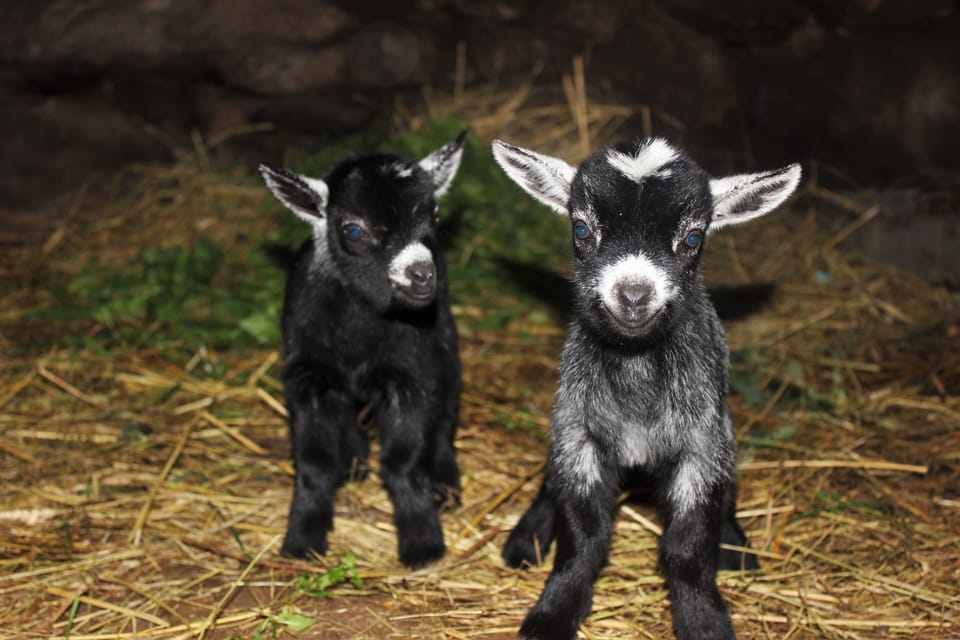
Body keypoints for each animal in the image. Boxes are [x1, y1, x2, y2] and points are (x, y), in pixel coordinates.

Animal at [258, 132, 466, 568]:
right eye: (354, 231)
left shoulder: (410, 374)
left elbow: (404, 462)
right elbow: (315, 463)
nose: (422, 276)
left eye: (435, 216)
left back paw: (445, 481)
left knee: (445, 411)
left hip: (444, 342)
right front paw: (303, 537)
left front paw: (422, 542)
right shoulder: (308, 376)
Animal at [492, 137, 800, 639]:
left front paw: (704, 622)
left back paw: (735, 544)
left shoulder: (700, 446)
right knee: (548, 482)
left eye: (693, 238)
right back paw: (525, 537)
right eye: (581, 229)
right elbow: (582, 536)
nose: (634, 296)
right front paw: (552, 614)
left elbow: (688, 548)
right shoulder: (579, 435)